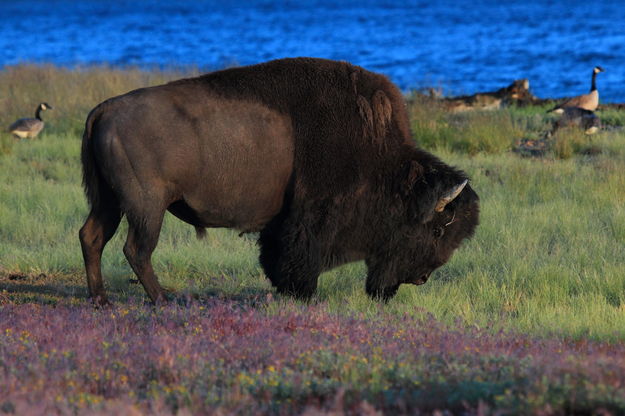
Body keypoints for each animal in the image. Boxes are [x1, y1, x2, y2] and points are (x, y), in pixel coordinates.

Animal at [78, 57, 478, 304]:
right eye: (437, 230)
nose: (421, 278)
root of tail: (105, 109)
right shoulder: (310, 219)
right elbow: (300, 256)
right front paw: (304, 294)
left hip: (109, 202)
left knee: (92, 237)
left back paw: (102, 301)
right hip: (147, 207)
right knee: (137, 249)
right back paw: (162, 300)